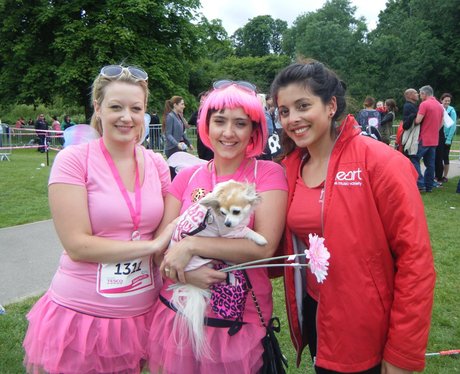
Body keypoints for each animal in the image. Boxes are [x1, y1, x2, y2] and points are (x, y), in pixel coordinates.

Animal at [166, 180, 266, 358]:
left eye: (235, 211)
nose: (227, 223)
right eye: (223, 213)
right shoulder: (230, 234)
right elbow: (246, 230)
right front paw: (259, 238)